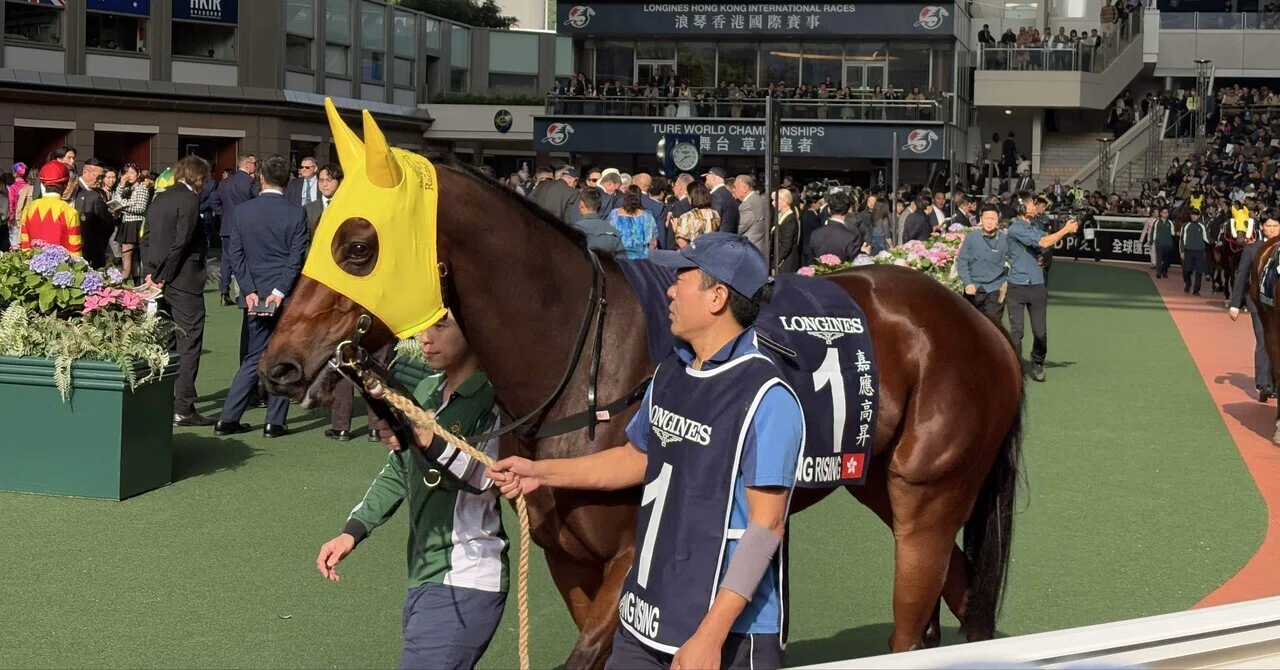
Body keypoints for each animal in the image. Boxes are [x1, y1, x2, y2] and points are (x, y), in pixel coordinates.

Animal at [260, 100, 1027, 668]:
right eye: (319, 231)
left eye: (358, 248)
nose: (279, 363)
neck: (582, 368)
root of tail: (977, 322)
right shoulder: (567, 557)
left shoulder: (634, 554)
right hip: (883, 486)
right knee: (966, 602)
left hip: (930, 496)